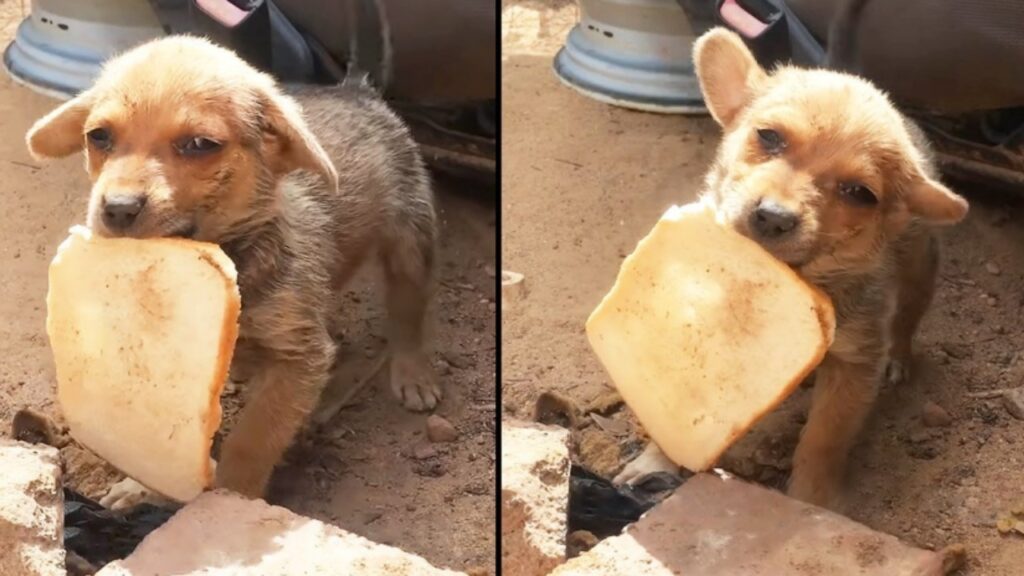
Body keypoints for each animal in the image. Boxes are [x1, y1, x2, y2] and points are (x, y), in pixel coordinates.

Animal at [25, 34, 438, 498]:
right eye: (98, 136)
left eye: (200, 145)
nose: (117, 208)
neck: (233, 254)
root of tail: (355, 89)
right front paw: (140, 486)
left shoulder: (298, 358)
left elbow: (252, 440)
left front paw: (230, 497)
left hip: (411, 236)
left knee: (407, 311)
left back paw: (412, 371)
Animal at [614, 28, 966, 506]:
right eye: (769, 136)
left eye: (860, 193)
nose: (774, 217)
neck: (799, 277)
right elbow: (672, 411)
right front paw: (656, 460)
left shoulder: (854, 367)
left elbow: (823, 441)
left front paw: (812, 501)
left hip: (919, 271)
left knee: (907, 319)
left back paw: (900, 357)